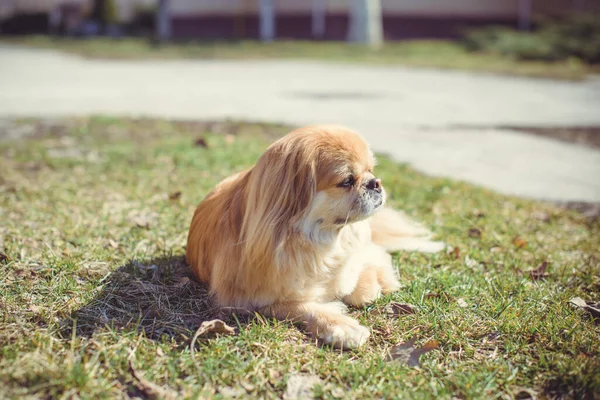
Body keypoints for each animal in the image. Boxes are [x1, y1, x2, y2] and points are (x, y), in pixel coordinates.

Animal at [185, 125, 442, 350]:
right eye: (347, 181)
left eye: (371, 170)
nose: (375, 183)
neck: (320, 242)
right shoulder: (247, 301)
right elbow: (302, 306)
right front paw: (342, 326)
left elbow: (362, 279)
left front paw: (371, 284)